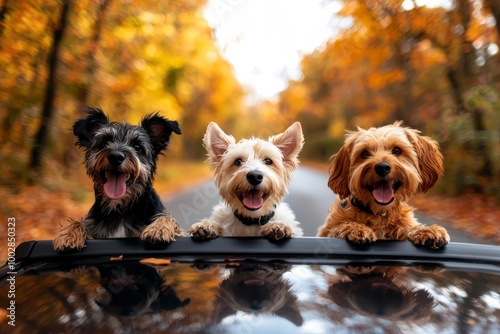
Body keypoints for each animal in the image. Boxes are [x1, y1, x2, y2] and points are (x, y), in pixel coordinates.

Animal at [53, 107, 182, 250]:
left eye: (137, 147)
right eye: (104, 142)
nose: (115, 157)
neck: (120, 210)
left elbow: (167, 218)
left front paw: (158, 229)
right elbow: (78, 222)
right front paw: (69, 234)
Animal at [318, 121, 452, 249]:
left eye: (397, 150)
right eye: (365, 154)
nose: (382, 167)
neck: (380, 213)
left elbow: (409, 228)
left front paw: (426, 230)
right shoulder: (326, 232)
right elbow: (338, 228)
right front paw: (356, 228)